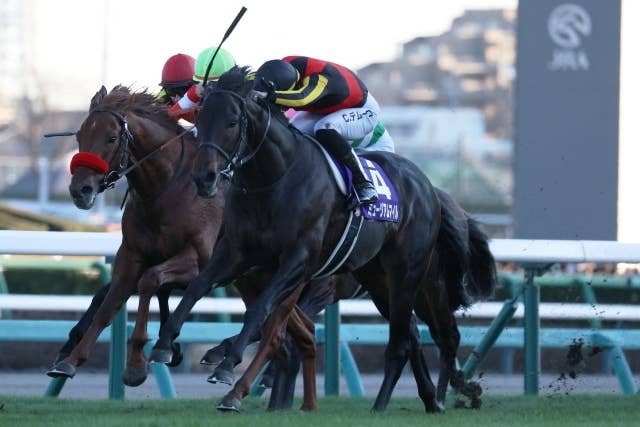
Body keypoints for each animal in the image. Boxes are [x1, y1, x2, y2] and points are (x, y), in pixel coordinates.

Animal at [50, 85, 358, 409]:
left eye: (111, 138)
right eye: (80, 135)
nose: (80, 190)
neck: (167, 186)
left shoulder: (199, 260)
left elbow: (150, 281)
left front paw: (137, 364)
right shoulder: (131, 257)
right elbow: (108, 304)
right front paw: (70, 359)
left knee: (279, 331)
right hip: (254, 280)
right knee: (296, 333)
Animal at [149, 66, 493, 412]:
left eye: (232, 122)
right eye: (201, 121)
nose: (203, 178)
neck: (274, 178)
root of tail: (427, 186)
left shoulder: (298, 260)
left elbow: (260, 310)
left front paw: (227, 365)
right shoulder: (236, 252)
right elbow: (196, 288)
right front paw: (164, 345)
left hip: (410, 275)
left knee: (415, 339)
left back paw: (390, 405)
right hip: (377, 279)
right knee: (410, 336)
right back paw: (425, 400)